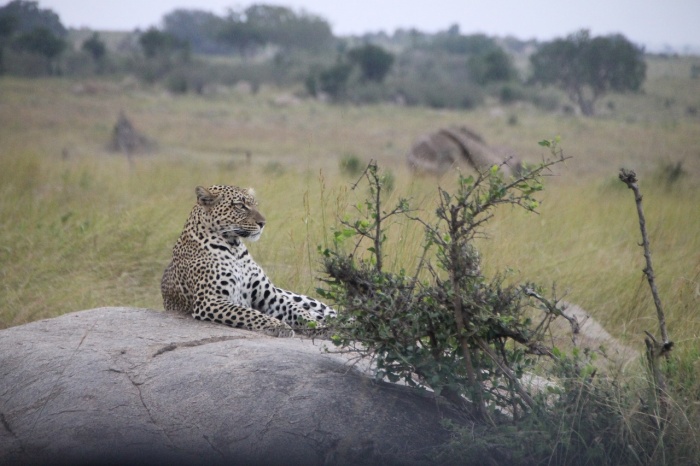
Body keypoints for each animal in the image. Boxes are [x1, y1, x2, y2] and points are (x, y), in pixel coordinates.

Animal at [161, 186, 336, 338]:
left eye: (254, 204)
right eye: (240, 206)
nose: (263, 223)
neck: (235, 248)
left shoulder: (272, 297)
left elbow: (298, 311)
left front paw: (320, 328)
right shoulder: (210, 301)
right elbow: (248, 313)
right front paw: (278, 325)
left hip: (294, 295)